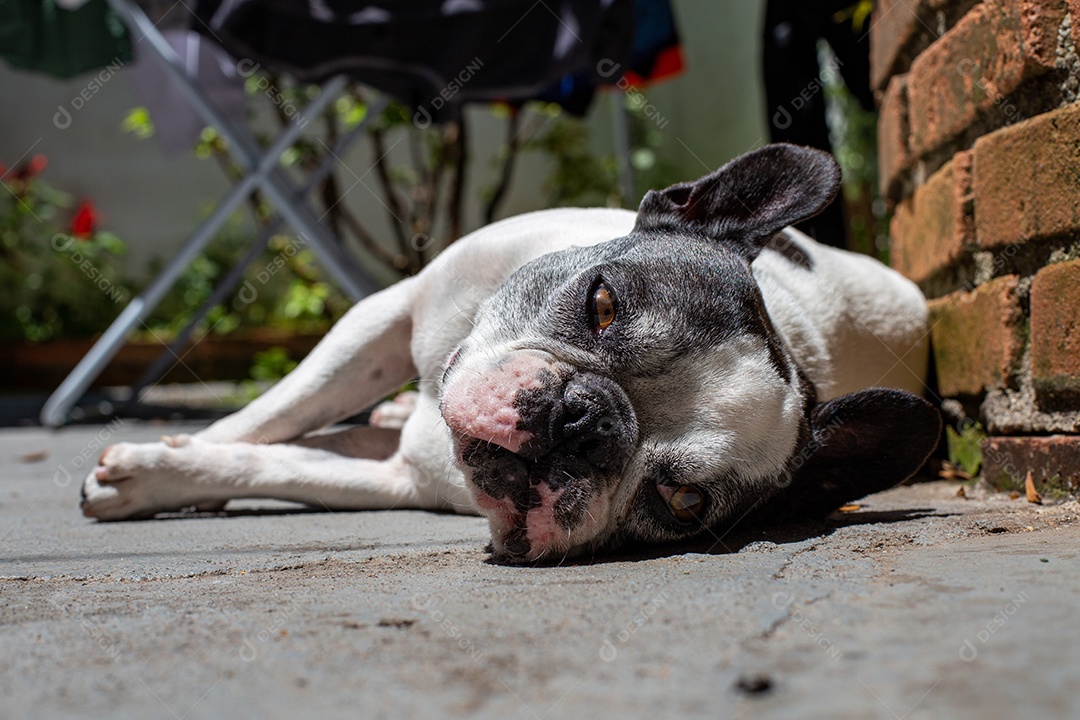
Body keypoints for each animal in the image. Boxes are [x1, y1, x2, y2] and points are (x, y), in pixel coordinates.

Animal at [82, 144, 937, 561]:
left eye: (683, 503)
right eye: (601, 303)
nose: (583, 423)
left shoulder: (400, 479)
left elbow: (287, 465)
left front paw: (156, 473)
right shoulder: (383, 315)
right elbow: (273, 413)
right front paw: (175, 456)